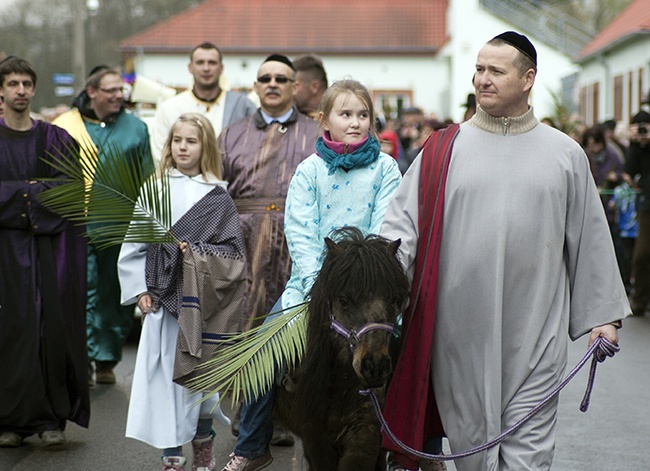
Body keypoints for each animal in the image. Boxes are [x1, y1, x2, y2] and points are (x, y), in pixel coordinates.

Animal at [274, 227, 408, 470]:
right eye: (343, 300)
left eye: (394, 300)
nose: (374, 367)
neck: (340, 384)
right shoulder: (315, 439)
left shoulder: (365, 436)